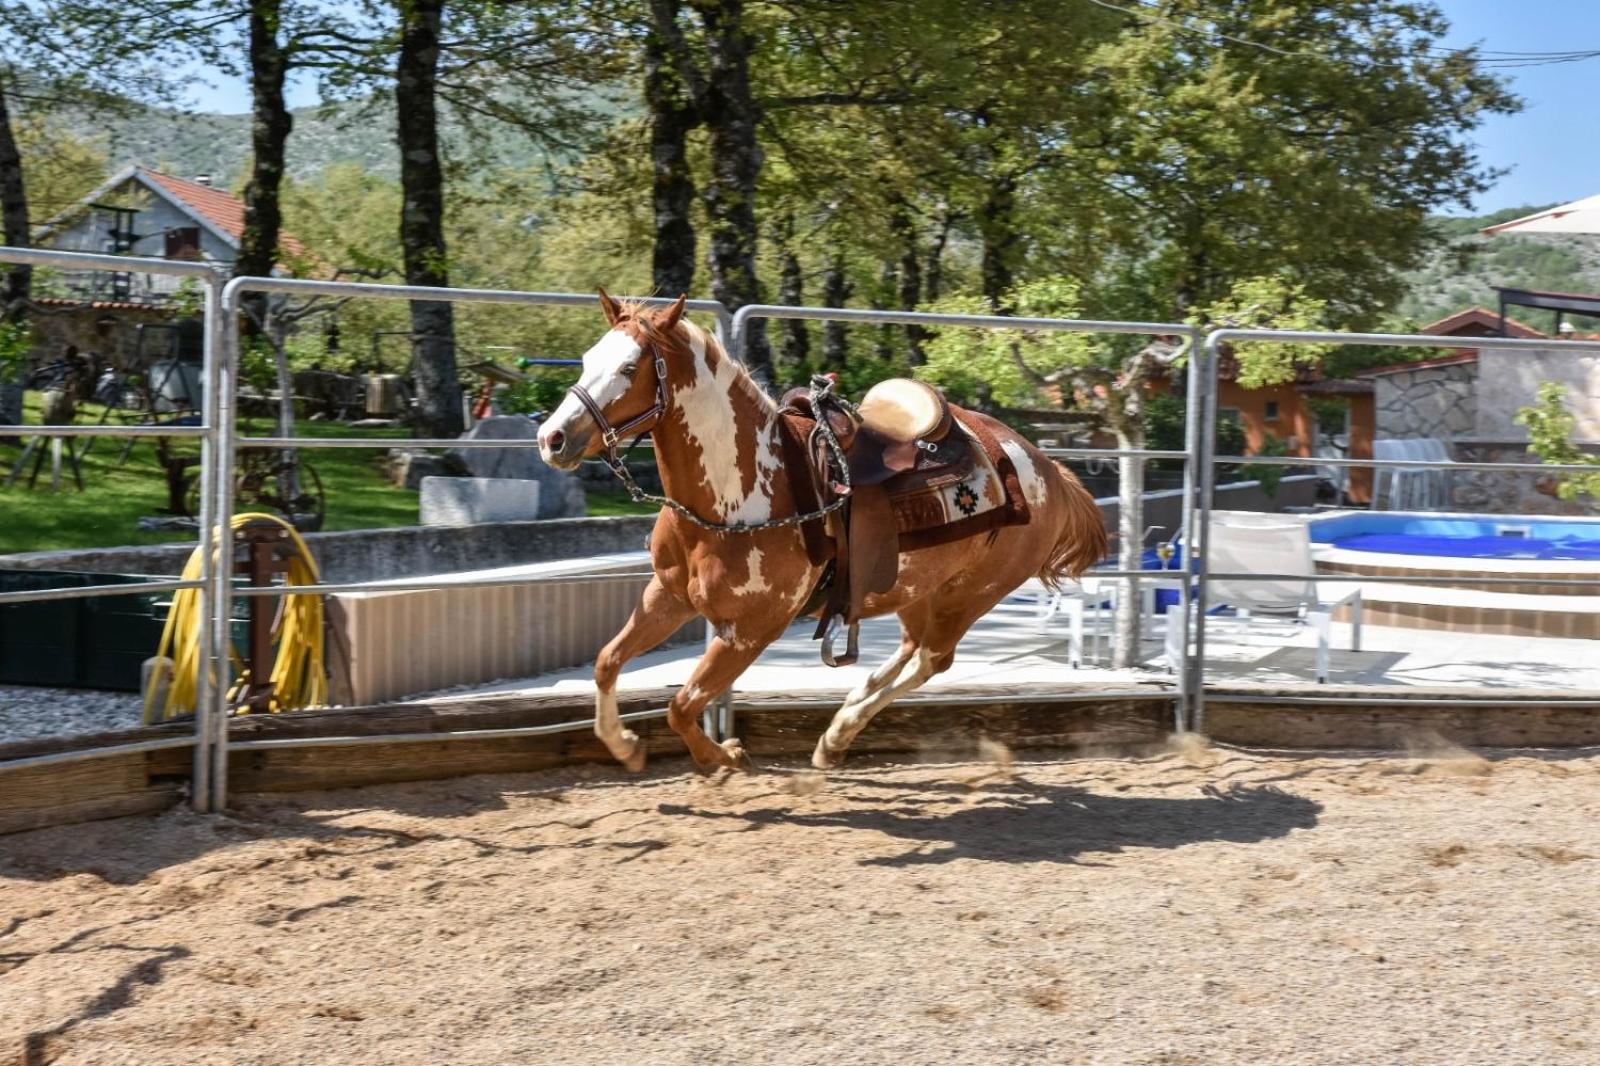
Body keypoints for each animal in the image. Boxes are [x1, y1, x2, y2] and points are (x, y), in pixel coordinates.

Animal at [537, 291, 1108, 772]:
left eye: (629, 367)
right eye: (587, 359)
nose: (552, 438)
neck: (740, 497)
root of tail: (1047, 469)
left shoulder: (749, 632)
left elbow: (681, 705)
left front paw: (727, 756)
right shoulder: (668, 595)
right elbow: (608, 662)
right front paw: (626, 746)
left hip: (968, 596)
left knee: (932, 659)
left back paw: (839, 732)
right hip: (913, 588)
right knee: (909, 649)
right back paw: (845, 718)